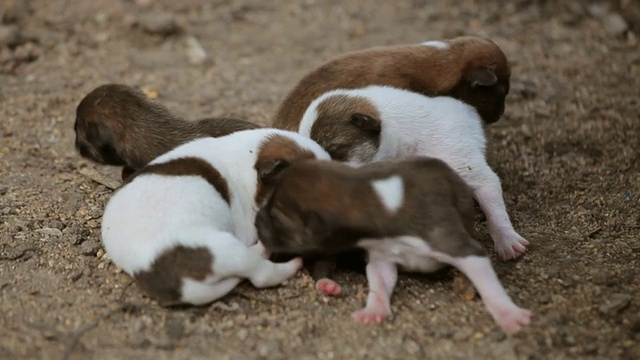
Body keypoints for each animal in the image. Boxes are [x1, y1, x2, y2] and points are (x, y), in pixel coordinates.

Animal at [258, 158, 532, 334]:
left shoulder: (458, 245)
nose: (257, 218)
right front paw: (374, 310)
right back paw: (327, 283)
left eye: (276, 217)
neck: (369, 197)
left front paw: (509, 315)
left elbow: (489, 285)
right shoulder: (381, 256)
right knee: (323, 265)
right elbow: (379, 284)